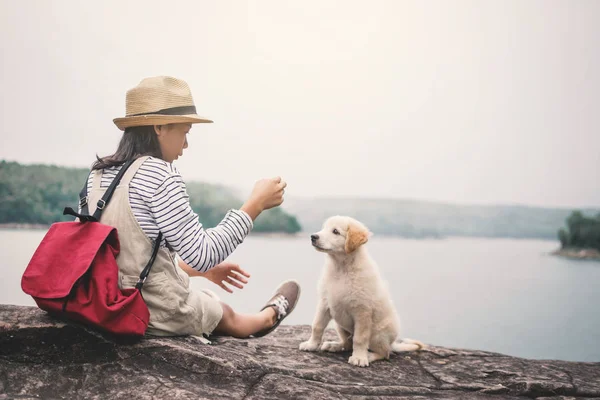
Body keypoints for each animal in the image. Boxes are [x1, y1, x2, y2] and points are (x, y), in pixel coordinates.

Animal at [298, 216, 422, 366]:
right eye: (323, 228)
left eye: (335, 231)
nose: (313, 237)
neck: (341, 268)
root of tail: (392, 343)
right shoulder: (325, 303)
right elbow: (317, 325)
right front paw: (311, 344)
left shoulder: (362, 311)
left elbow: (360, 338)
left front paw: (359, 358)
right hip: (340, 325)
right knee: (348, 343)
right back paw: (335, 345)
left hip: (377, 334)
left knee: (385, 353)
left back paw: (369, 355)